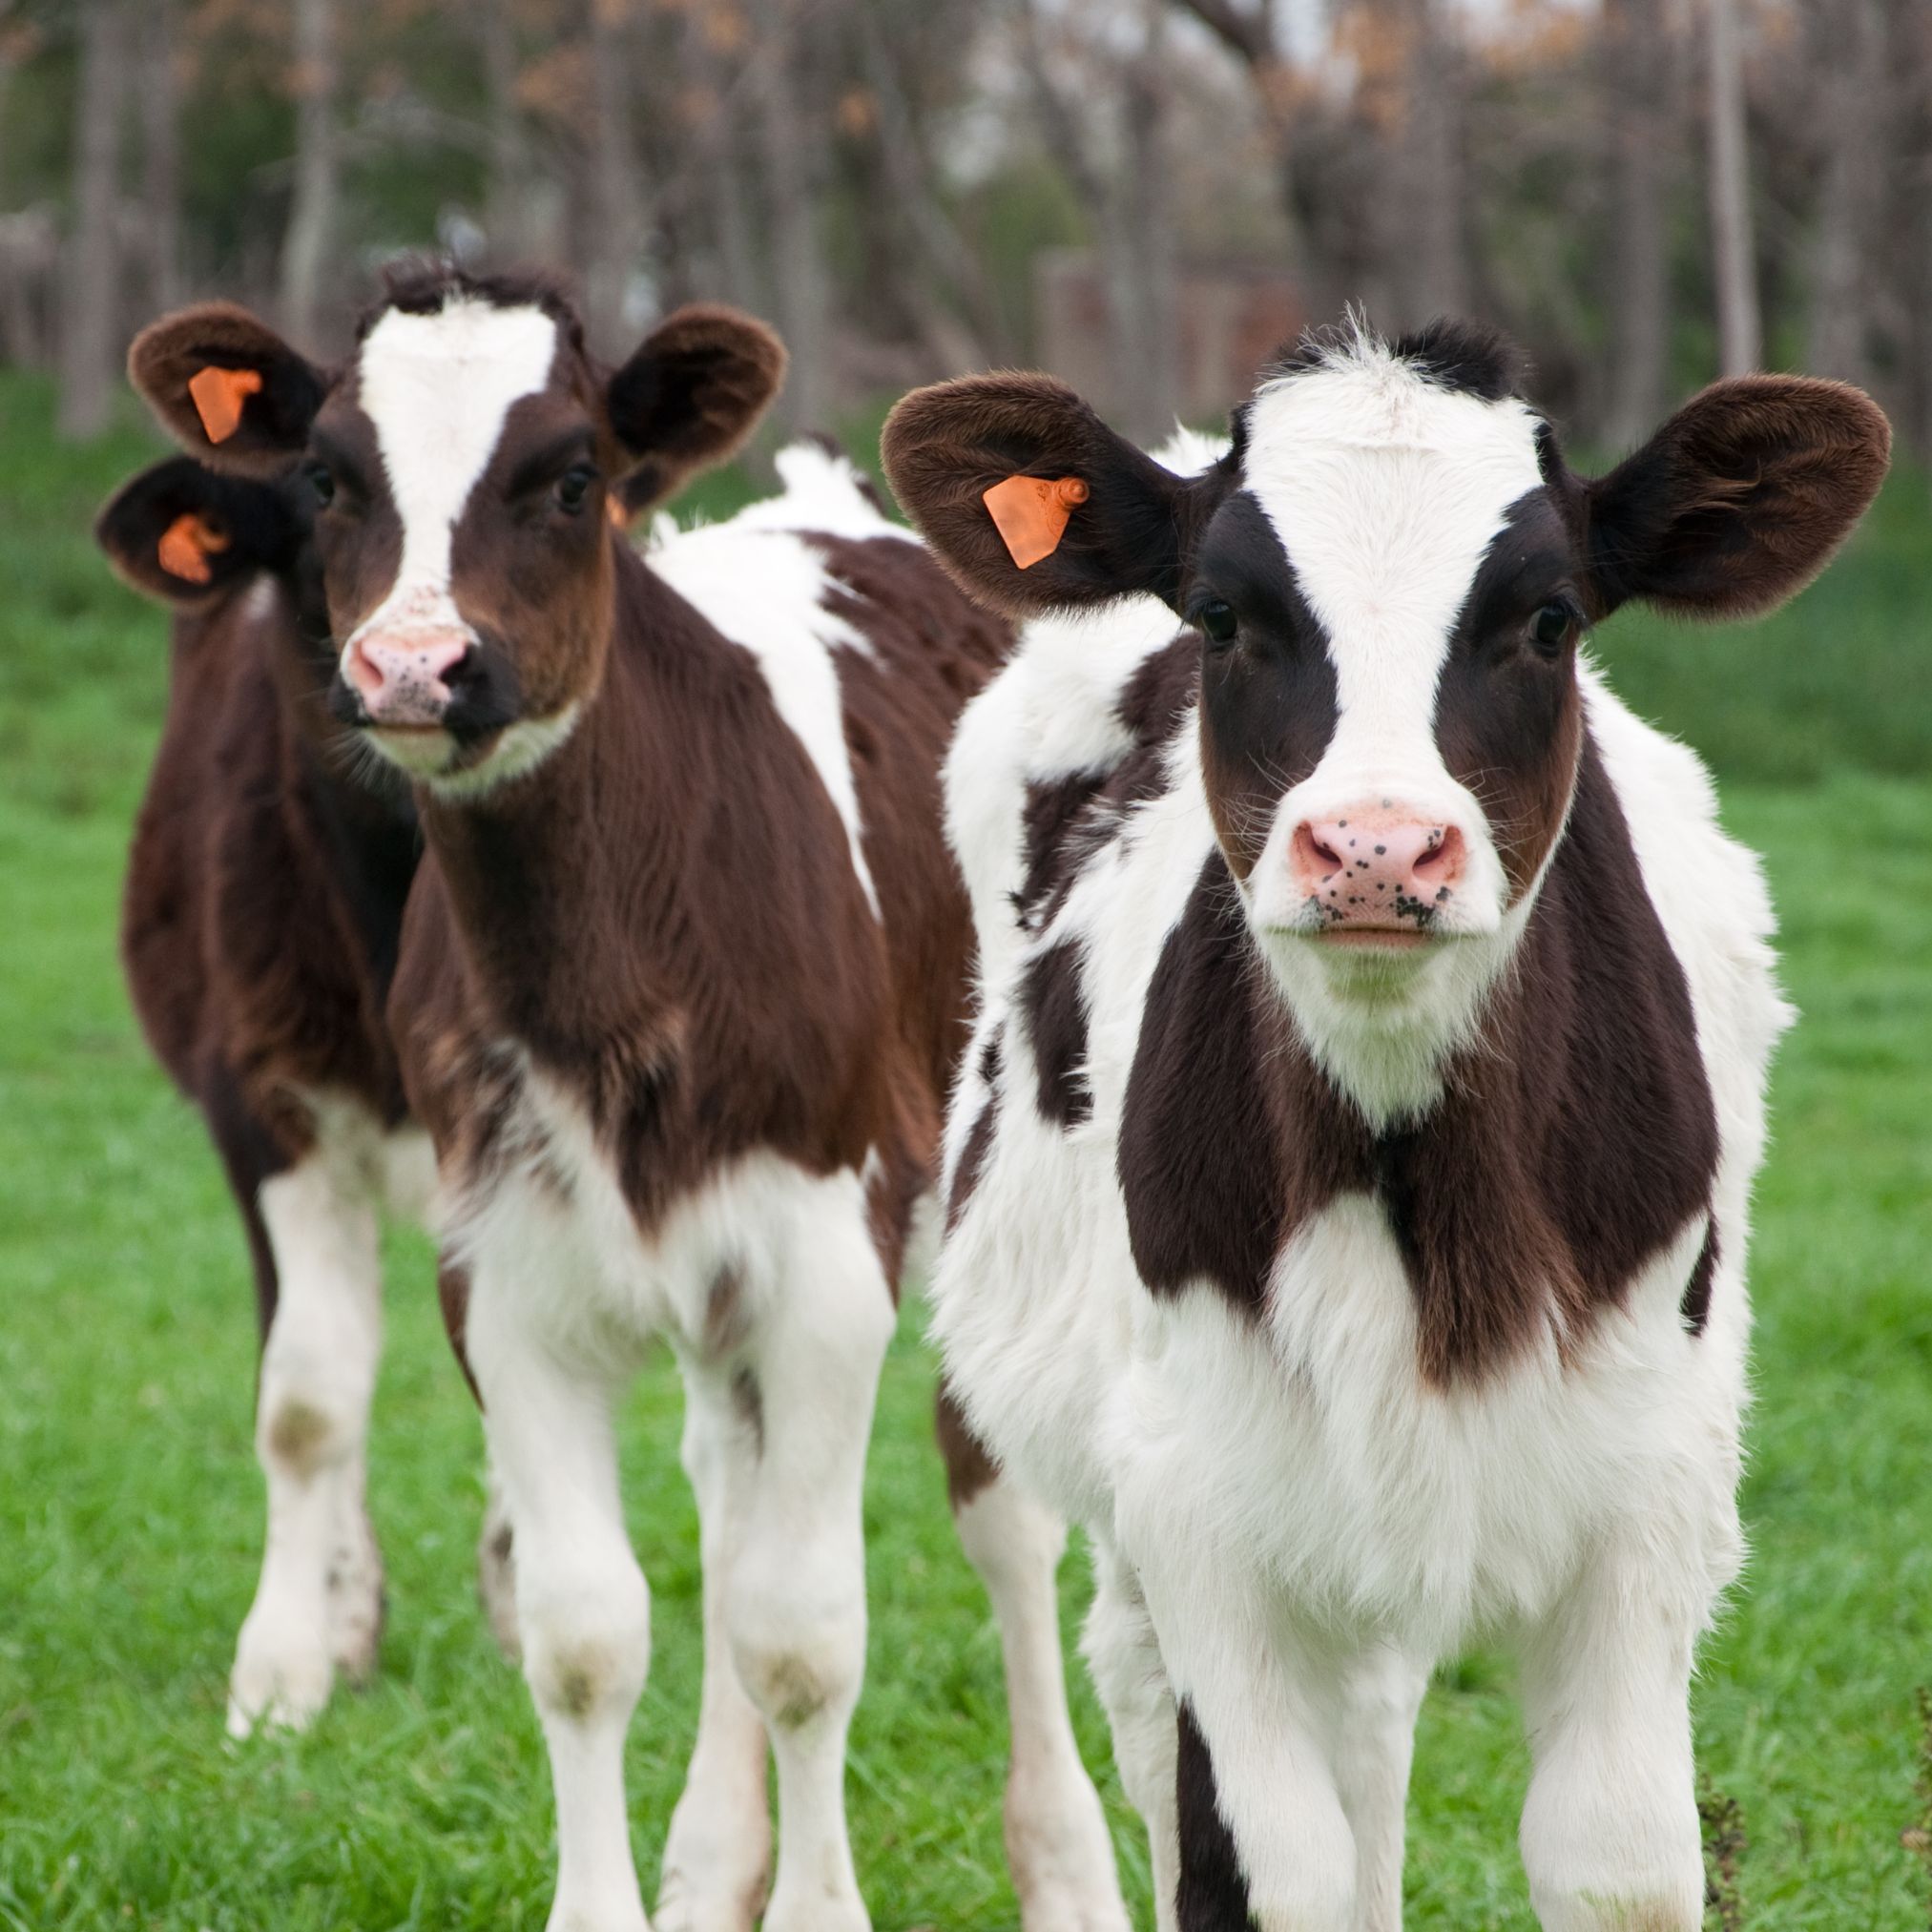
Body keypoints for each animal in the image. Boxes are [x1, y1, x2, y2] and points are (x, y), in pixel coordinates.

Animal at [132, 268, 1128, 1932]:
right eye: (329, 479)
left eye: (571, 477)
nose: (413, 666)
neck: (603, 965)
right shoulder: (504, 1274)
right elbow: (590, 1631)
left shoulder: (824, 1261)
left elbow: (805, 1637)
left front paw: (818, 1911)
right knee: (726, 1507)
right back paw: (711, 1856)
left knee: (1003, 1521)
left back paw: (1067, 1867)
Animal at [881, 324, 1885, 1923]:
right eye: (1225, 615)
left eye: (1547, 619)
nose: (1372, 848)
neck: (1415, 1166)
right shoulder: (1205, 1508)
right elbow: (1260, 1866)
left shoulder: (1646, 1501)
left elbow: (1615, 1860)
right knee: (1162, 1700)